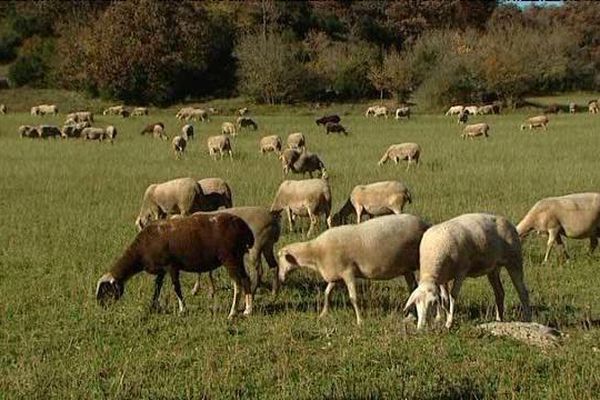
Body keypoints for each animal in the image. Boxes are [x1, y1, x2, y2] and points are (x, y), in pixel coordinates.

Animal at [95, 212, 254, 318]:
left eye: (105, 290)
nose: (100, 307)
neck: (140, 251)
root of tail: (242, 226)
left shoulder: (171, 266)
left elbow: (176, 287)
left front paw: (182, 310)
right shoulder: (161, 269)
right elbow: (157, 287)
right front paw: (153, 306)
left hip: (229, 258)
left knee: (237, 284)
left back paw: (232, 313)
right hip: (238, 257)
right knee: (246, 280)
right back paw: (248, 310)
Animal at [278, 214, 428, 324]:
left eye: (281, 259)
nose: (280, 277)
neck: (316, 253)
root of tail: (425, 224)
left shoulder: (348, 272)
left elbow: (353, 298)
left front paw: (360, 320)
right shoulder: (336, 275)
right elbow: (327, 293)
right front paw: (323, 314)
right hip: (406, 268)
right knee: (413, 288)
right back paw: (410, 316)